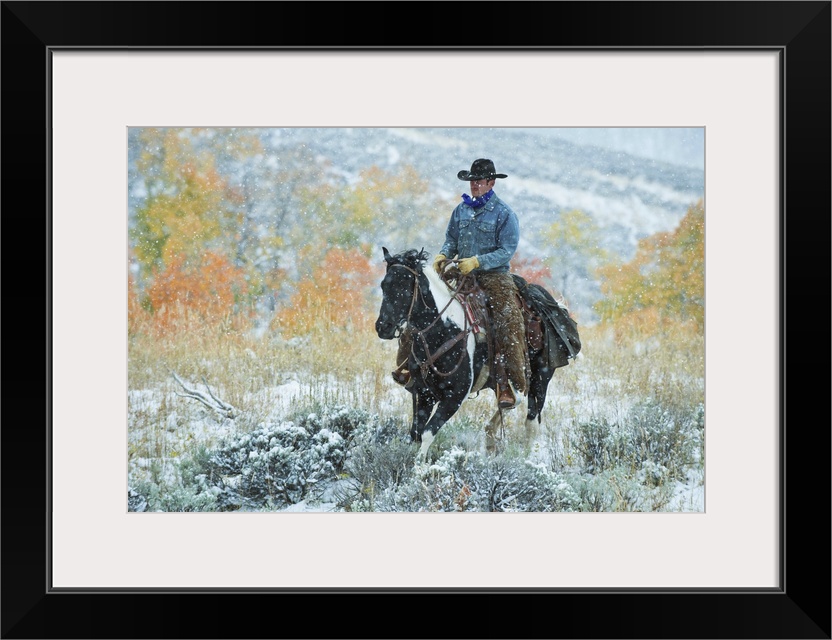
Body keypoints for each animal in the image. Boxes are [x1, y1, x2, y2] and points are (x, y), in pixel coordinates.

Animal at [374, 247, 580, 463]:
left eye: (405, 285)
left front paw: (419, 468)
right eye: (384, 285)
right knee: (509, 403)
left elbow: (428, 433)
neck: (445, 330)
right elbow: (415, 433)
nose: (383, 327)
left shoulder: (455, 397)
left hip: (540, 380)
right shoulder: (422, 393)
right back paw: (491, 436)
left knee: (530, 422)